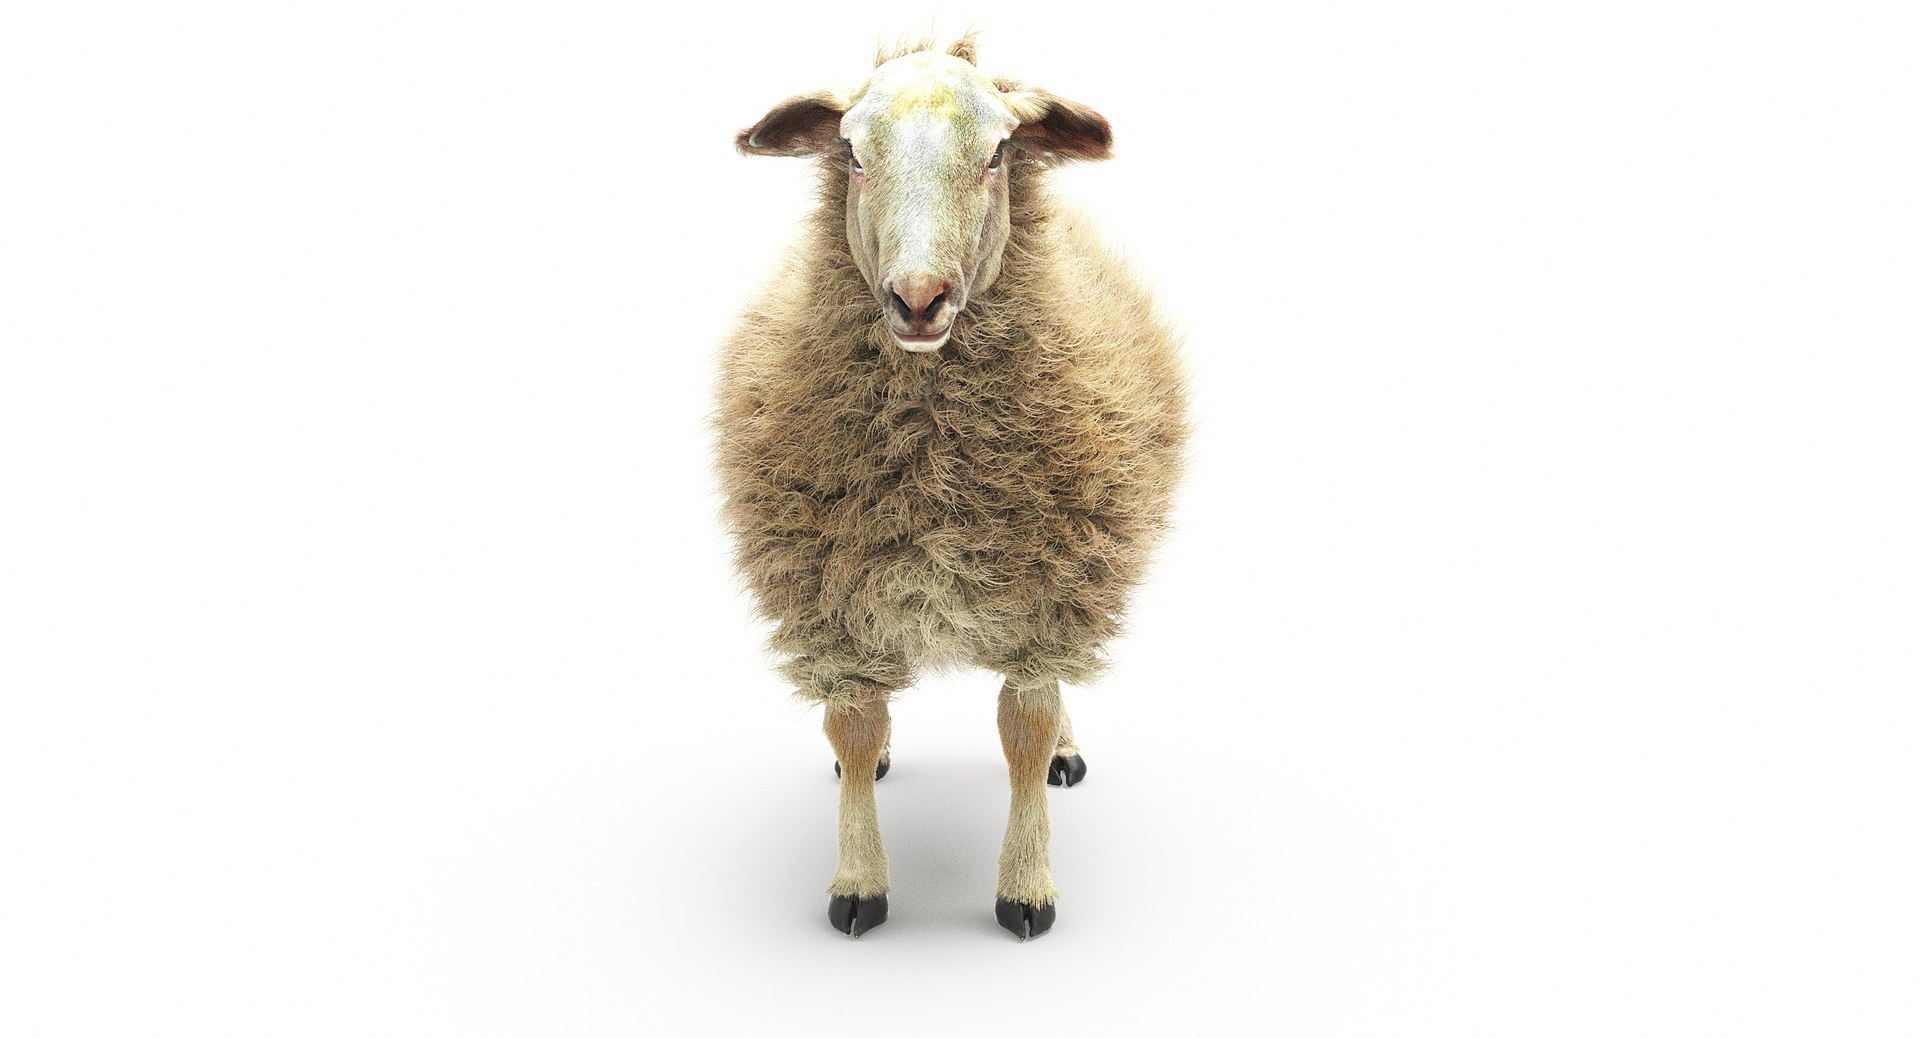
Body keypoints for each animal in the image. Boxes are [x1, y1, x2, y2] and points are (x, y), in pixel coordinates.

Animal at [713, 36, 1189, 939]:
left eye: (999, 152)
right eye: (853, 154)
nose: (918, 297)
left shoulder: (1049, 587)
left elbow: (1025, 729)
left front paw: (1026, 886)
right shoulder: (835, 593)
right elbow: (854, 724)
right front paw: (858, 881)